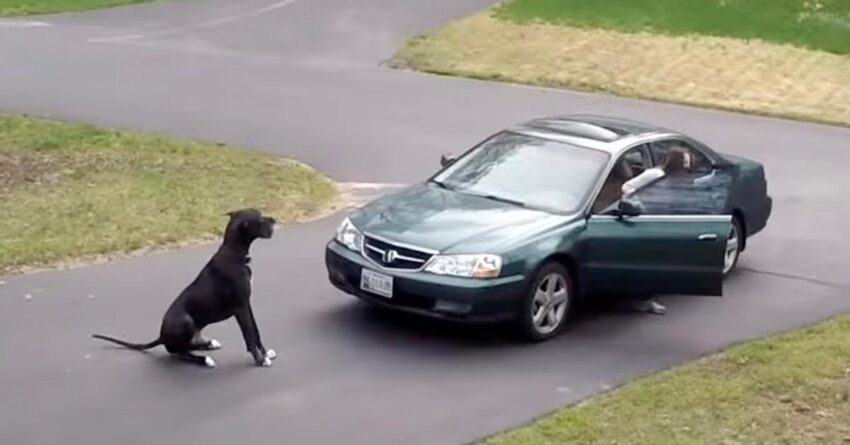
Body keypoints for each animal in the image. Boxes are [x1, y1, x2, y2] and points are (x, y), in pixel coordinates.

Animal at [93, 209, 278, 368]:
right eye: (259, 219)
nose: (274, 220)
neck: (233, 254)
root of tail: (161, 337)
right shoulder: (240, 307)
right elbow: (249, 335)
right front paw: (260, 360)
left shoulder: (247, 304)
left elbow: (256, 331)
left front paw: (265, 353)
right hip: (186, 321)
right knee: (180, 352)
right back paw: (204, 359)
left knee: (186, 347)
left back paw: (208, 344)